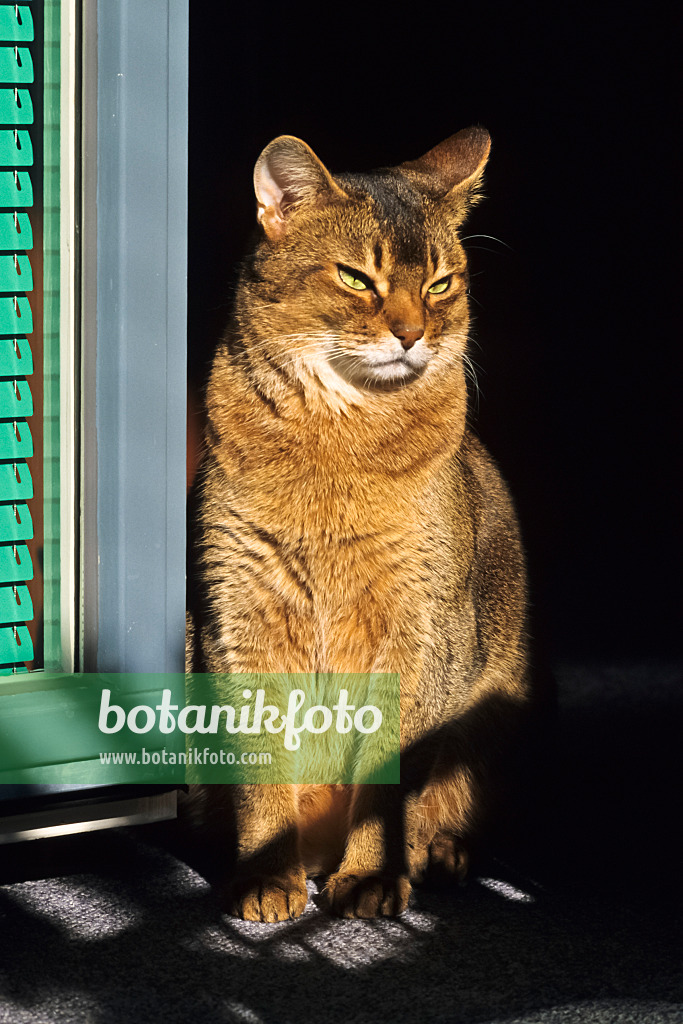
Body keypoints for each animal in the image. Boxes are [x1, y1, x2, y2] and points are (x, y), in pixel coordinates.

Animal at [187, 125, 532, 921]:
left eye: (440, 284)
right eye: (354, 278)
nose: (411, 334)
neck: (336, 441)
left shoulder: (420, 629)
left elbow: (383, 770)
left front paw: (374, 877)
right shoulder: (239, 616)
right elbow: (260, 767)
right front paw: (264, 874)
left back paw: (438, 852)